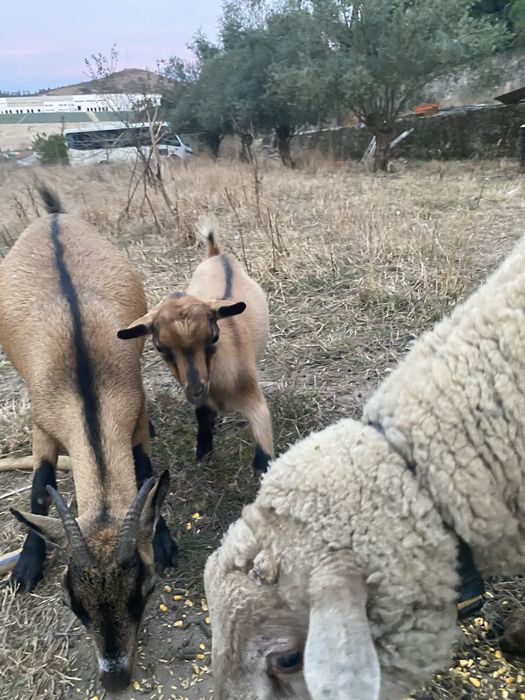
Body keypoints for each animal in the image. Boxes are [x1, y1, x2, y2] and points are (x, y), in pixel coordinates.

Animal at [0, 189, 177, 691]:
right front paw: (27, 563)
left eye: (144, 591)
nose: (114, 677)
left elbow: (145, 470)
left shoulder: (134, 412)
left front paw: (165, 540)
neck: (86, 383)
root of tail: (54, 217)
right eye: (73, 603)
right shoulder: (42, 424)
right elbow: (40, 485)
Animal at [118, 218, 273, 473]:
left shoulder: (254, 400)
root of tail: (216, 254)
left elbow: (263, 459)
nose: (196, 389)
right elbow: (201, 413)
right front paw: (203, 451)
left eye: (213, 337)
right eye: (161, 348)